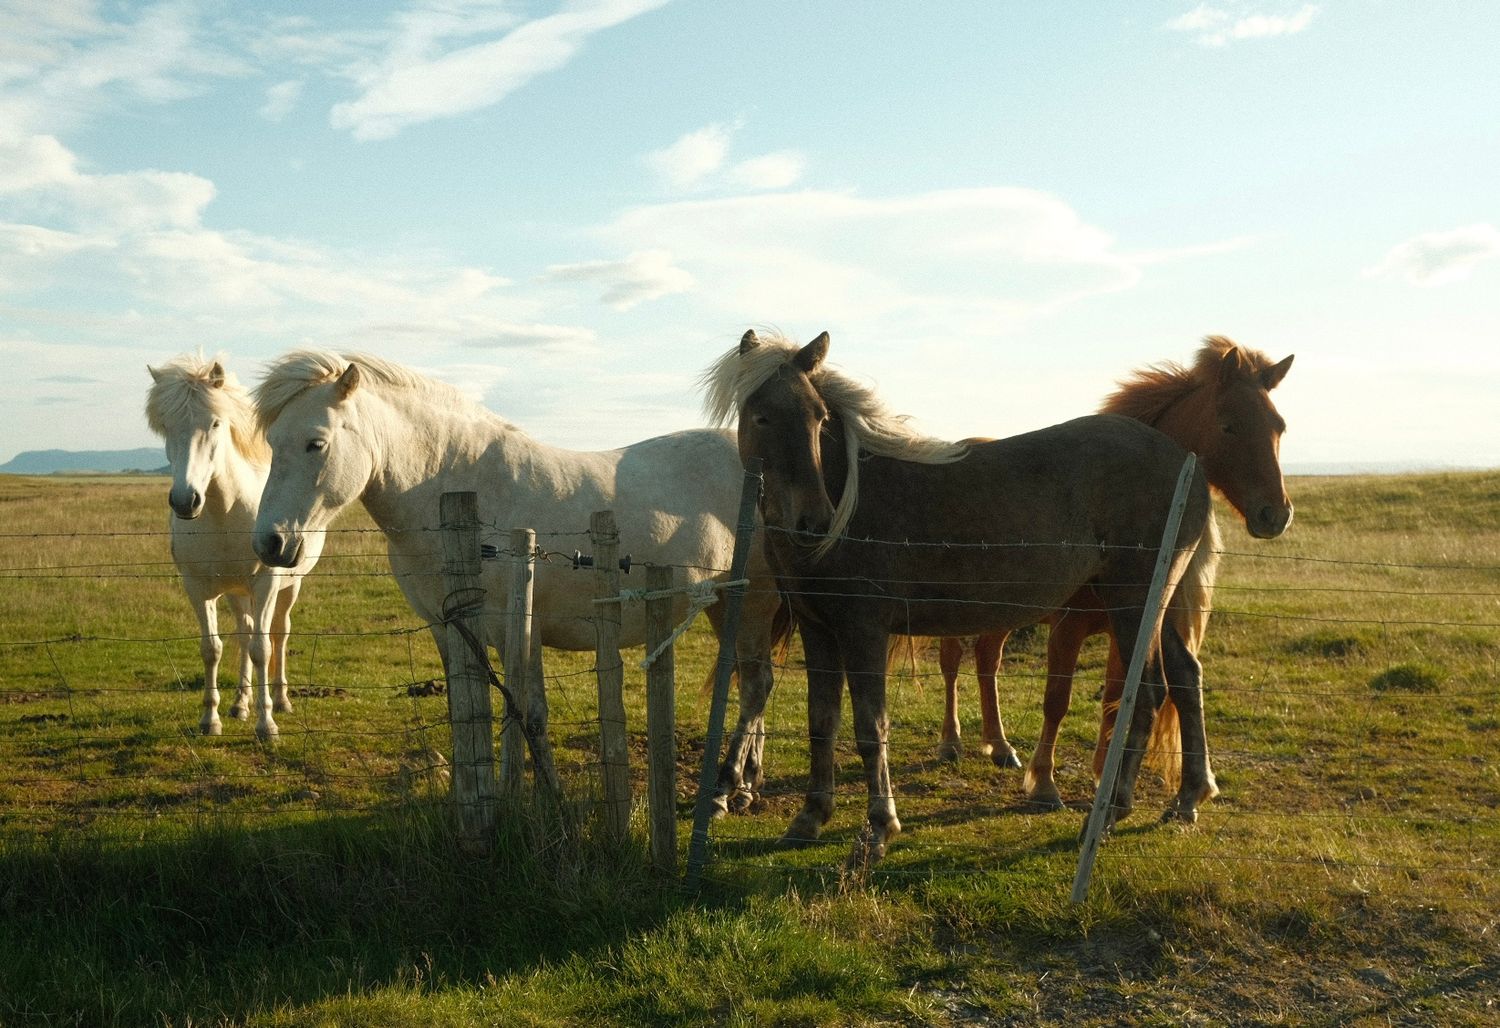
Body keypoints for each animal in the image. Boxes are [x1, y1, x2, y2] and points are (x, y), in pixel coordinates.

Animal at [145, 355, 324, 740]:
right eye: (165, 426)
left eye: (214, 422)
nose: (185, 501)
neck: (223, 514)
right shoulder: (198, 588)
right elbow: (212, 648)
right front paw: (210, 718)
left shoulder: (266, 584)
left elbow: (263, 647)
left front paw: (267, 724)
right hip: (235, 592)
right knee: (243, 632)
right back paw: (240, 703)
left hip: (289, 586)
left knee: (278, 633)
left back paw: (281, 699)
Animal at [249, 351, 788, 810]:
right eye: (272, 445)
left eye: (316, 443)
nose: (269, 544)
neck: (460, 489)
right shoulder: (448, 628)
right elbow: (469, 710)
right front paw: (474, 794)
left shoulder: (517, 629)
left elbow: (527, 712)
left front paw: (542, 797)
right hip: (724, 605)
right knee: (751, 681)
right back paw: (748, 783)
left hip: (754, 602)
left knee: (756, 685)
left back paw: (724, 790)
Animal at [702, 330, 1212, 868]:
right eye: (762, 416)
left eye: (819, 418)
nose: (814, 521)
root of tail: (1189, 465)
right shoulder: (819, 630)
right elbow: (822, 722)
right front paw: (808, 820)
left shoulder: (863, 630)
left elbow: (870, 727)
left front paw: (879, 828)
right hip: (1152, 610)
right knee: (1183, 678)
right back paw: (1185, 800)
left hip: (1133, 607)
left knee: (1148, 695)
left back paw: (1112, 812)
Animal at [935, 336, 1295, 813]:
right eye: (1229, 426)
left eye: (1279, 427)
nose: (1276, 514)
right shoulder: (1069, 626)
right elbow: (1058, 700)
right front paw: (1046, 784)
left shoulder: (1138, 623)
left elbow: (1131, 692)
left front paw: (1122, 778)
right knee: (951, 662)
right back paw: (951, 743)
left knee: (987, 660)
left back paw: (1000, 746)